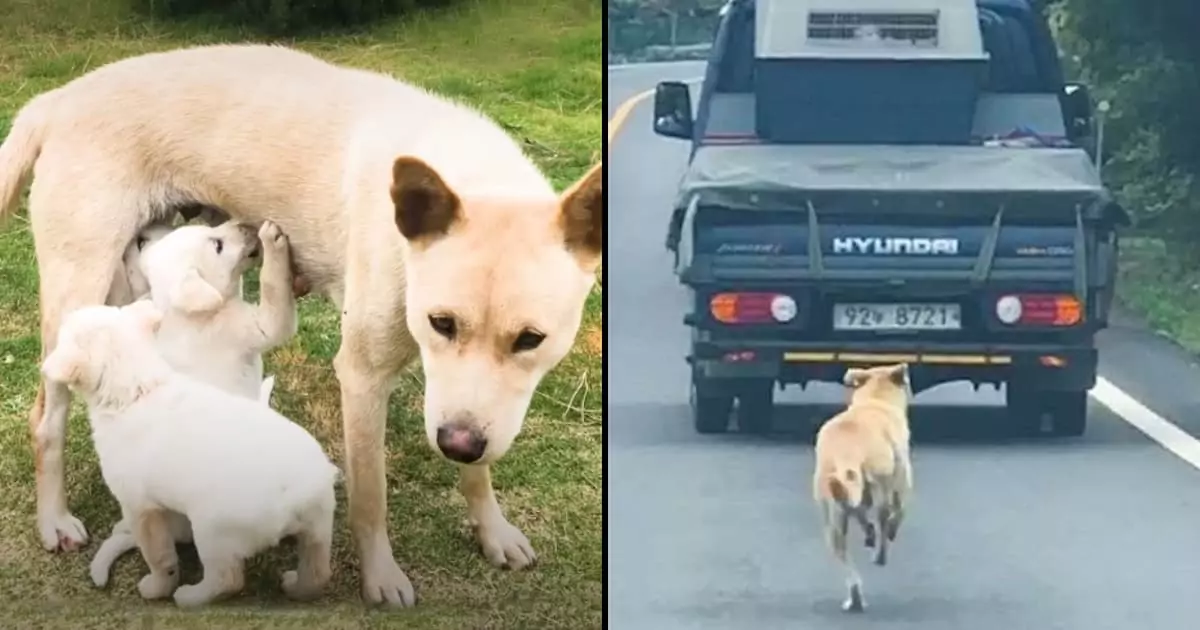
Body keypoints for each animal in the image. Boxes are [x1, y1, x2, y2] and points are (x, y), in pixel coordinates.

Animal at [42, 302, 338, 607]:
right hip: (318, 526)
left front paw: (156, 588)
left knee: (227, 579)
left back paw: (189, 596)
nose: (64, 312)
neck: (140, 389)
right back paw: (294, 586)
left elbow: (160, 558)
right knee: (318, 573)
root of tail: (297, 492)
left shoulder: (141, 508)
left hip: (212, 530)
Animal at [89, 218, 295, 588]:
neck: (189, 314)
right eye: (217, 245)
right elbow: (274, 291)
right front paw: (273, 242)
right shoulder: (258, 325)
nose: (246, 223)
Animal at [811, 360, 912, 612]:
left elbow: (861, 513)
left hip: (832, 512)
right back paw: (880, 554)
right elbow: (901, 509)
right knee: (883, 517)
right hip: (880, 483)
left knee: (843, 550)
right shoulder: (903, 476)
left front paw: (868, 533)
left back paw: (854, 596)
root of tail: (845, 451)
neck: (874, 399)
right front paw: (890, 531)